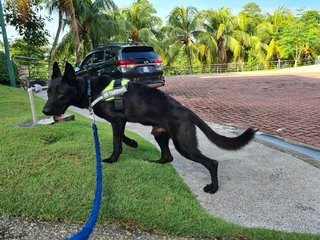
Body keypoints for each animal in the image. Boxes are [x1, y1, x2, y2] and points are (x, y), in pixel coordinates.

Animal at [42, 62, 258, 194]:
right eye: (49, 91)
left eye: (60, 93)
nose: (44, 111)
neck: (89, 89)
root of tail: (187, 110)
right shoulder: (121, 122)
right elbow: (122, 138)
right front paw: (133, 142)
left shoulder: (117, 120)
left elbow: (116, 142)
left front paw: (113, 159)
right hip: (160, 135)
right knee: (167, 157)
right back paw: (155, 162)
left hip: (183, 144)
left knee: (211, 163)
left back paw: (213, 187)